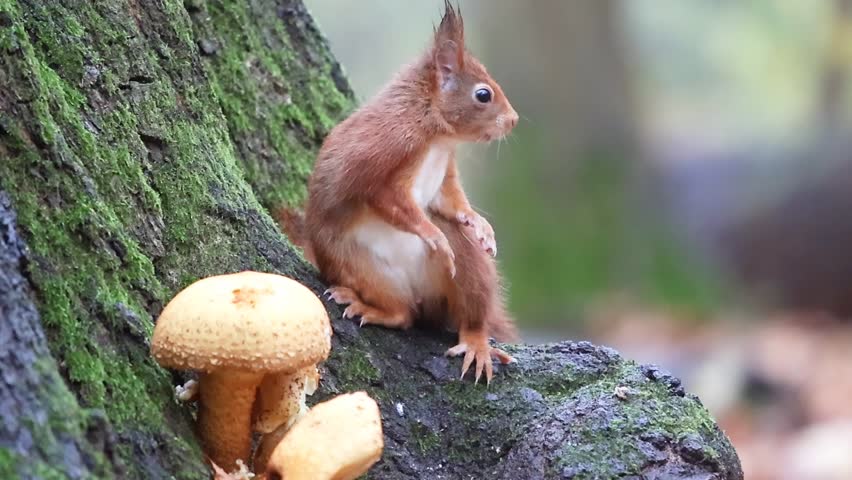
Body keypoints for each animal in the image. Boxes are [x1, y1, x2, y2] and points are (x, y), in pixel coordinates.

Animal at [279, 1, 520, 384]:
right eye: (484, 94)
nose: (513, 120)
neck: (436, 134)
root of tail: (423, 297)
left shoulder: (444, 173)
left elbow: (450, 203)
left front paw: (479, 225)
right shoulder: (384, 154)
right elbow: (391, 202)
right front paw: (433, 235)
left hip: (468, 274)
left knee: (467, 315)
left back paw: (477, 342)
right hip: (358, 263)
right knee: (403, 314)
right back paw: (370, 307)